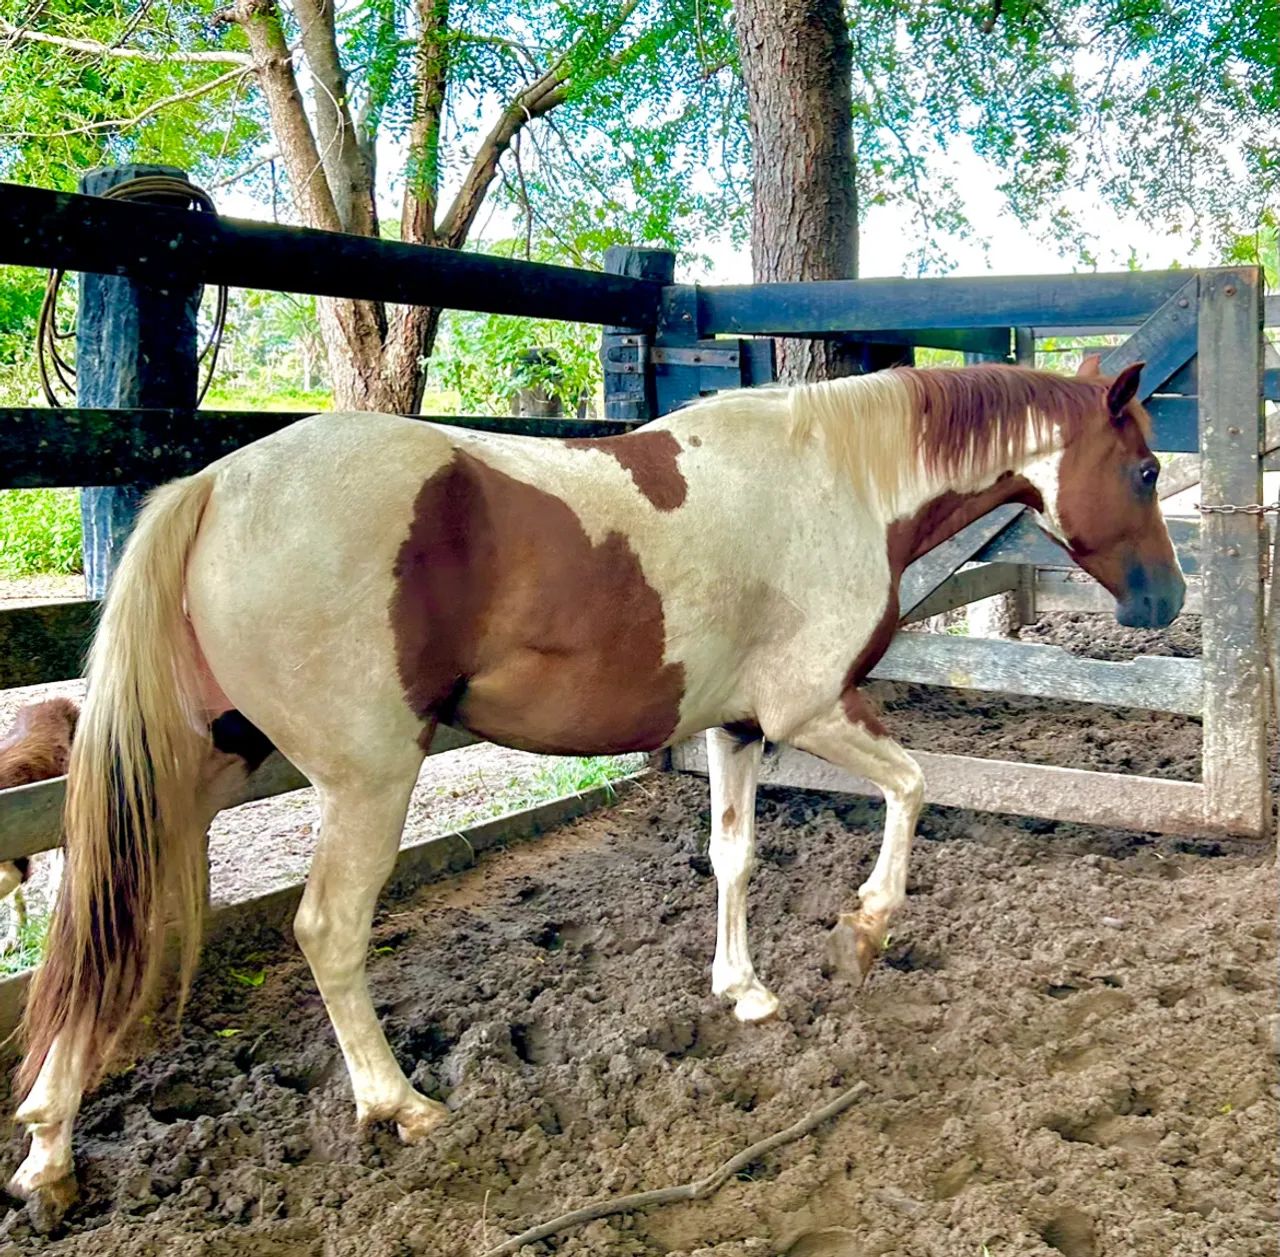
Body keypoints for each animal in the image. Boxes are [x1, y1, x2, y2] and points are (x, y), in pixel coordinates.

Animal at [8, 355, 1183, 1212]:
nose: (1164, 601)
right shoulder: (810, 712)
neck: (834, 479)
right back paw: (400, 1104)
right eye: (1142, 472)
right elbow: (913, 787)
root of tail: (212, 485)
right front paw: (866, 927)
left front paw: (743, 989)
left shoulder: (738, 728)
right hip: (364, 781)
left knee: (104, 929)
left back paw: (49, 1153)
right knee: (325, 932)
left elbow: (732, 856)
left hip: (195, 769)